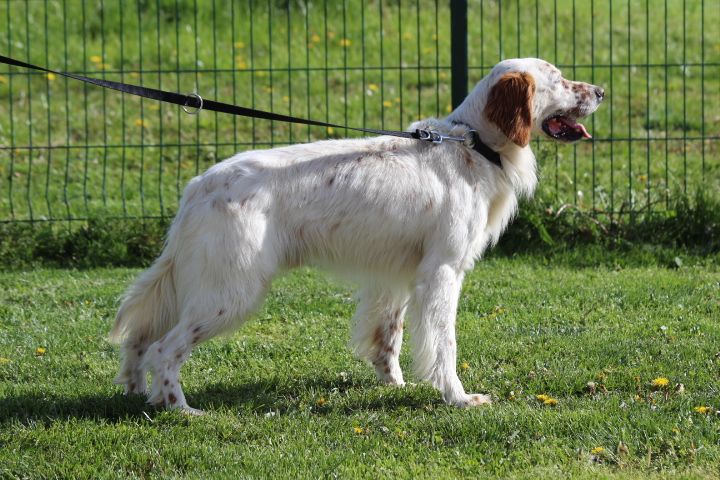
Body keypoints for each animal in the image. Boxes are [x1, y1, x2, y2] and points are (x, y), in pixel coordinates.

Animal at [111, 58, 600, 414]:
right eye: (559, 79)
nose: (601, 92)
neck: (471, 144)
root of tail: (199, 186)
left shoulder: (398, 274)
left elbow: (389, 337)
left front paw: (394, 385)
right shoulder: (442, 272)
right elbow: (444, 345)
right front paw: (458, 397)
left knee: (141, 339)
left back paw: (138, 391)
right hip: (230, 293)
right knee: (164, 349)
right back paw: (180, 408)